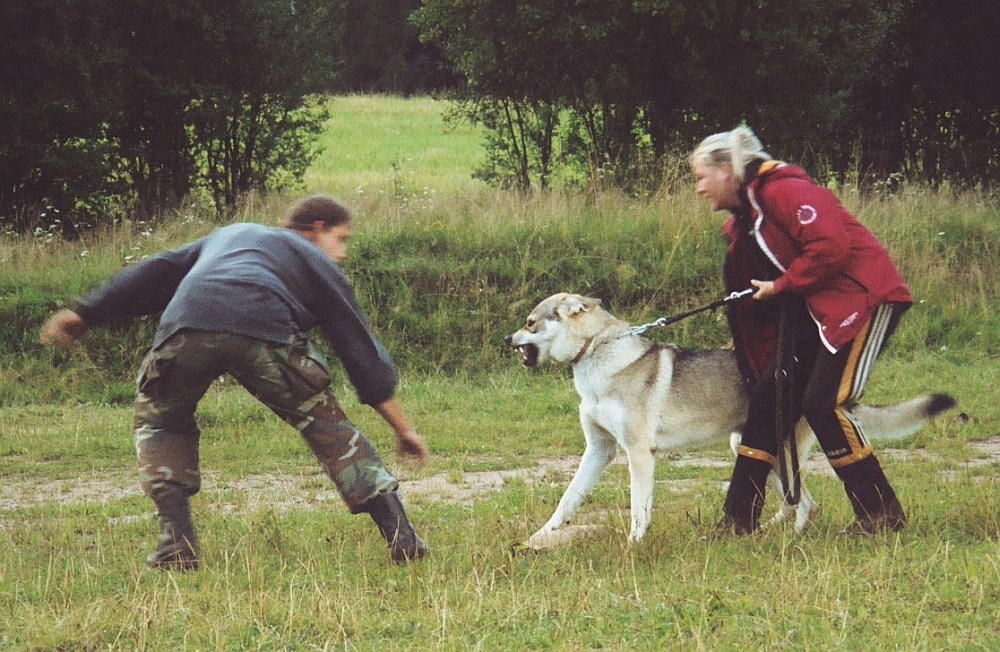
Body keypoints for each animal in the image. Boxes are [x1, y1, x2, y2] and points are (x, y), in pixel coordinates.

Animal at [504, 292, 956, 544]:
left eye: (529, 322)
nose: (507, 338)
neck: (596, 355)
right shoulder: (599, 450)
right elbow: (567, 500)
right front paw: (538, 538)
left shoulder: (638, 453)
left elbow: (638, 509)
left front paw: (634, 545)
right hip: (755, 449)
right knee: (803, 505)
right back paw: (777, 537)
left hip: (766, 452)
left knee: (805, 505)